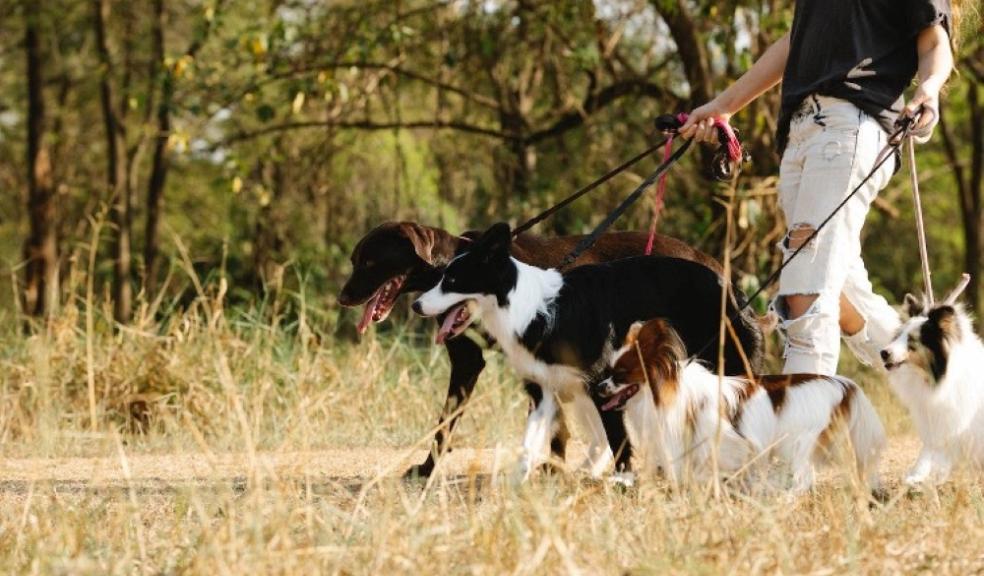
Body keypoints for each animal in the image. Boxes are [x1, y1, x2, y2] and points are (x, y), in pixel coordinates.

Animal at [336, 220, 744, 476]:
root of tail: (711, 263)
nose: (342, 298)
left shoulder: (479, 365)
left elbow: (445, 424)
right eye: (354, 260)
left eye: (370, 261)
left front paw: (427, 469)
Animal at [596, 318, 888, 492]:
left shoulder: (732, 442)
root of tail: (843, 383)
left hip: (800, 441)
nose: (599, 387)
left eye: (620, 375)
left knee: (803, 475)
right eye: (608, 371)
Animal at [880, 276, 980, 484]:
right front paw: (916, 474)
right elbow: (929, 449)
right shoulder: (935, 420)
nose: (883, 353)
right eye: (898, 335)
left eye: (912, 340)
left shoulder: (954, 420)